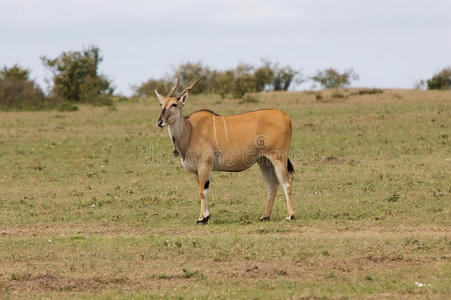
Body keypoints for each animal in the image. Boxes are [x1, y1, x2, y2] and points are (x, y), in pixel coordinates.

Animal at [155, 76, 296, 224]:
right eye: (161, 105)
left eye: (174, 105)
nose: (160, 122)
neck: (190, 130)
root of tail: (286, 117)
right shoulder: (196, 171)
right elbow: (202, 190)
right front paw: (206, 216)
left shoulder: (205, 166)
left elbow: (202, 191)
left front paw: (201, 218)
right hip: (264, 161)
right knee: (272, 184)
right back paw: (265, 216)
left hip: (278, 157)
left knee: (286, 182)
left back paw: (290, 215)